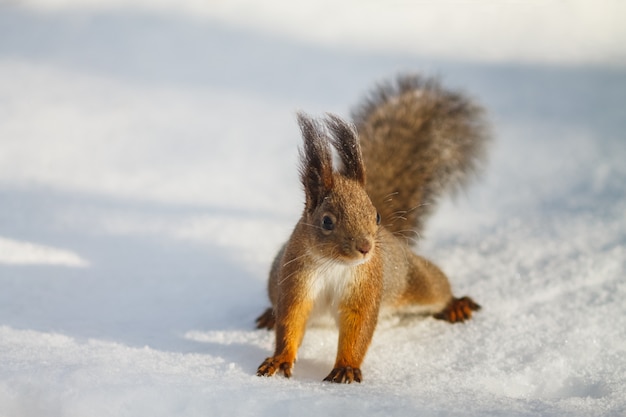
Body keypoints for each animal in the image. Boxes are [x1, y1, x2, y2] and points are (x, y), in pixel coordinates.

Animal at [254, 75, 488, 384]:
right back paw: (269, 314)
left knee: (438, 290)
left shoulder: (367, 284)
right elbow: (290, 320)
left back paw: (455, 304)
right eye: (326, 221)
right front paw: (279, 359)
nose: (365, 248)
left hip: (415, 281)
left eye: (375, 216)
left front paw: (345, 367)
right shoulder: (296, 279)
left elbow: (359, 326)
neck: (333, 265)